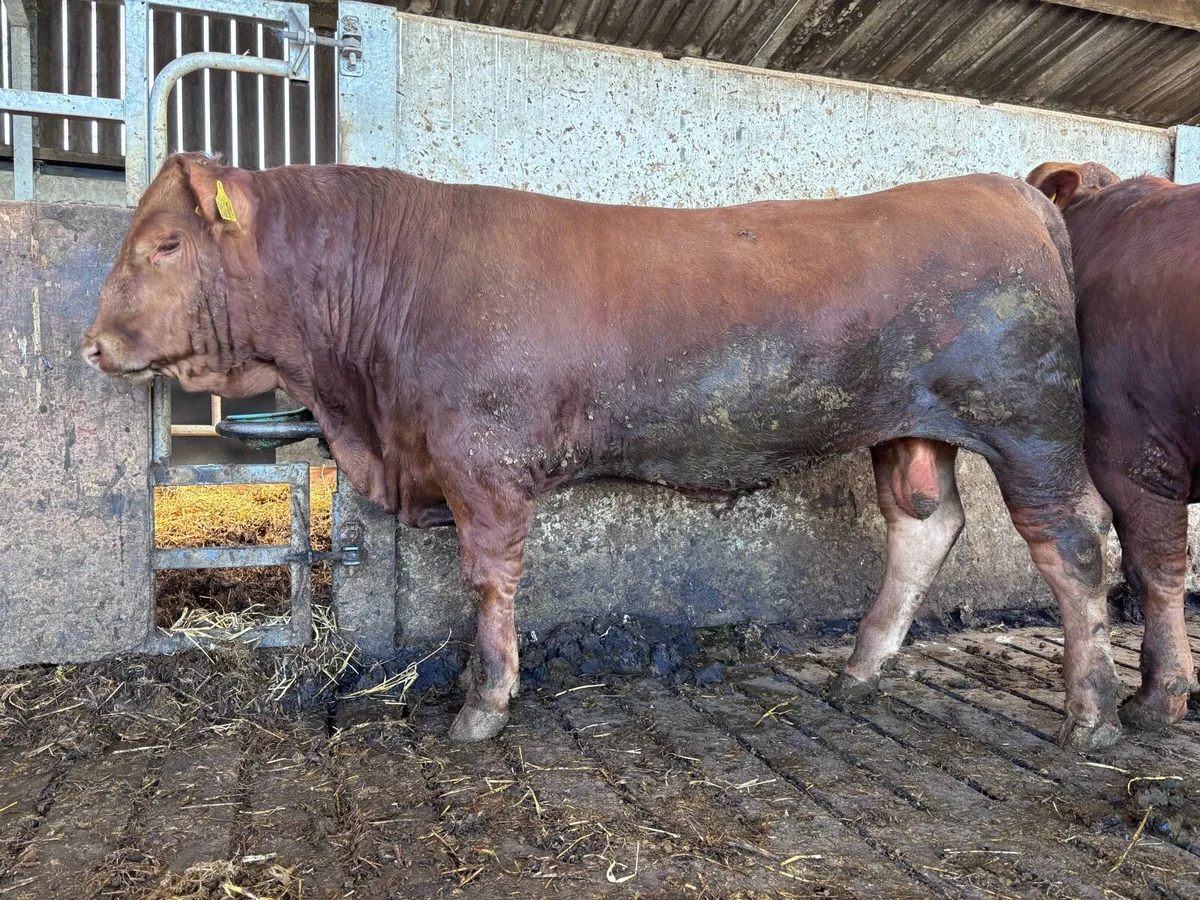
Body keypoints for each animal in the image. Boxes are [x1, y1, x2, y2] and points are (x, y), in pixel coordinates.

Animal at [83, 153, 1121, 748]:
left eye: (165, 244)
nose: (92, 345)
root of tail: (1009, 191)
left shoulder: (483, 461)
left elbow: (489, 580)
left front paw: (483, 704)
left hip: (1029, 421)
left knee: (1073, 546)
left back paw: (1092, 714)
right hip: (909, 428)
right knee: (924, 525)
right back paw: (860, 668)